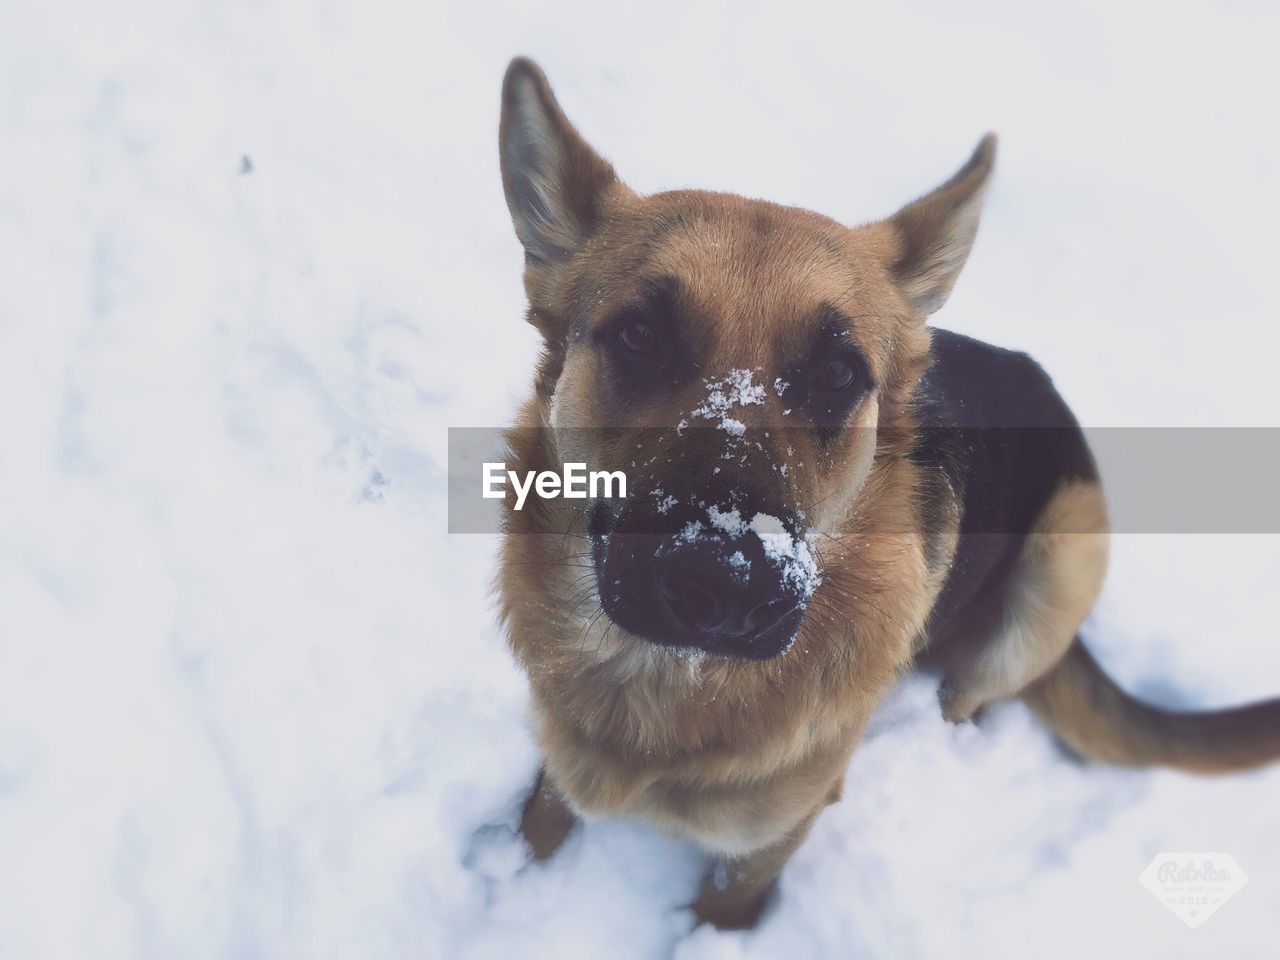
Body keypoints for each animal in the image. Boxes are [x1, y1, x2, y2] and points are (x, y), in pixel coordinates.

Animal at [491, 56, 1280, 926]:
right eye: (640, 336)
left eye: (839, 373)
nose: (728, 585)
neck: (660, 681)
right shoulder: (560, 758)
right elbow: (541, 819)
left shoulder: (766, 841)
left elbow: (726, 904)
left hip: (1061, 561)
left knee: (973, 692)